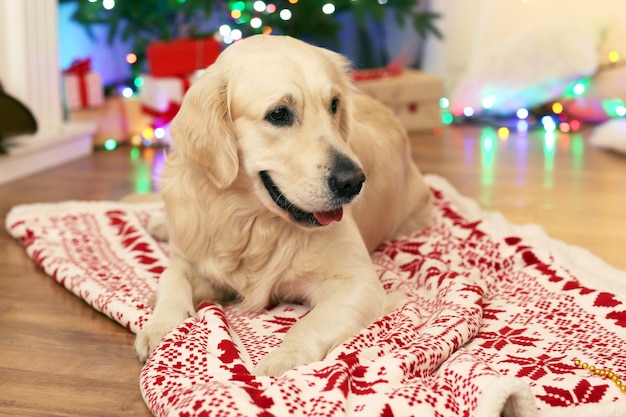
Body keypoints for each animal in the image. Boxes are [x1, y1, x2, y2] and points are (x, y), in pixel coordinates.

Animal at [134, 34, 432, 376]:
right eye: (278, 114)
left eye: (334, 104)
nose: (353, 182)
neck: (252, 222)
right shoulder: (200, 259)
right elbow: (171, 274)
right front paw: (161, 325)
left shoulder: (360, 283)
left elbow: (308, 323)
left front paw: (282, 360)